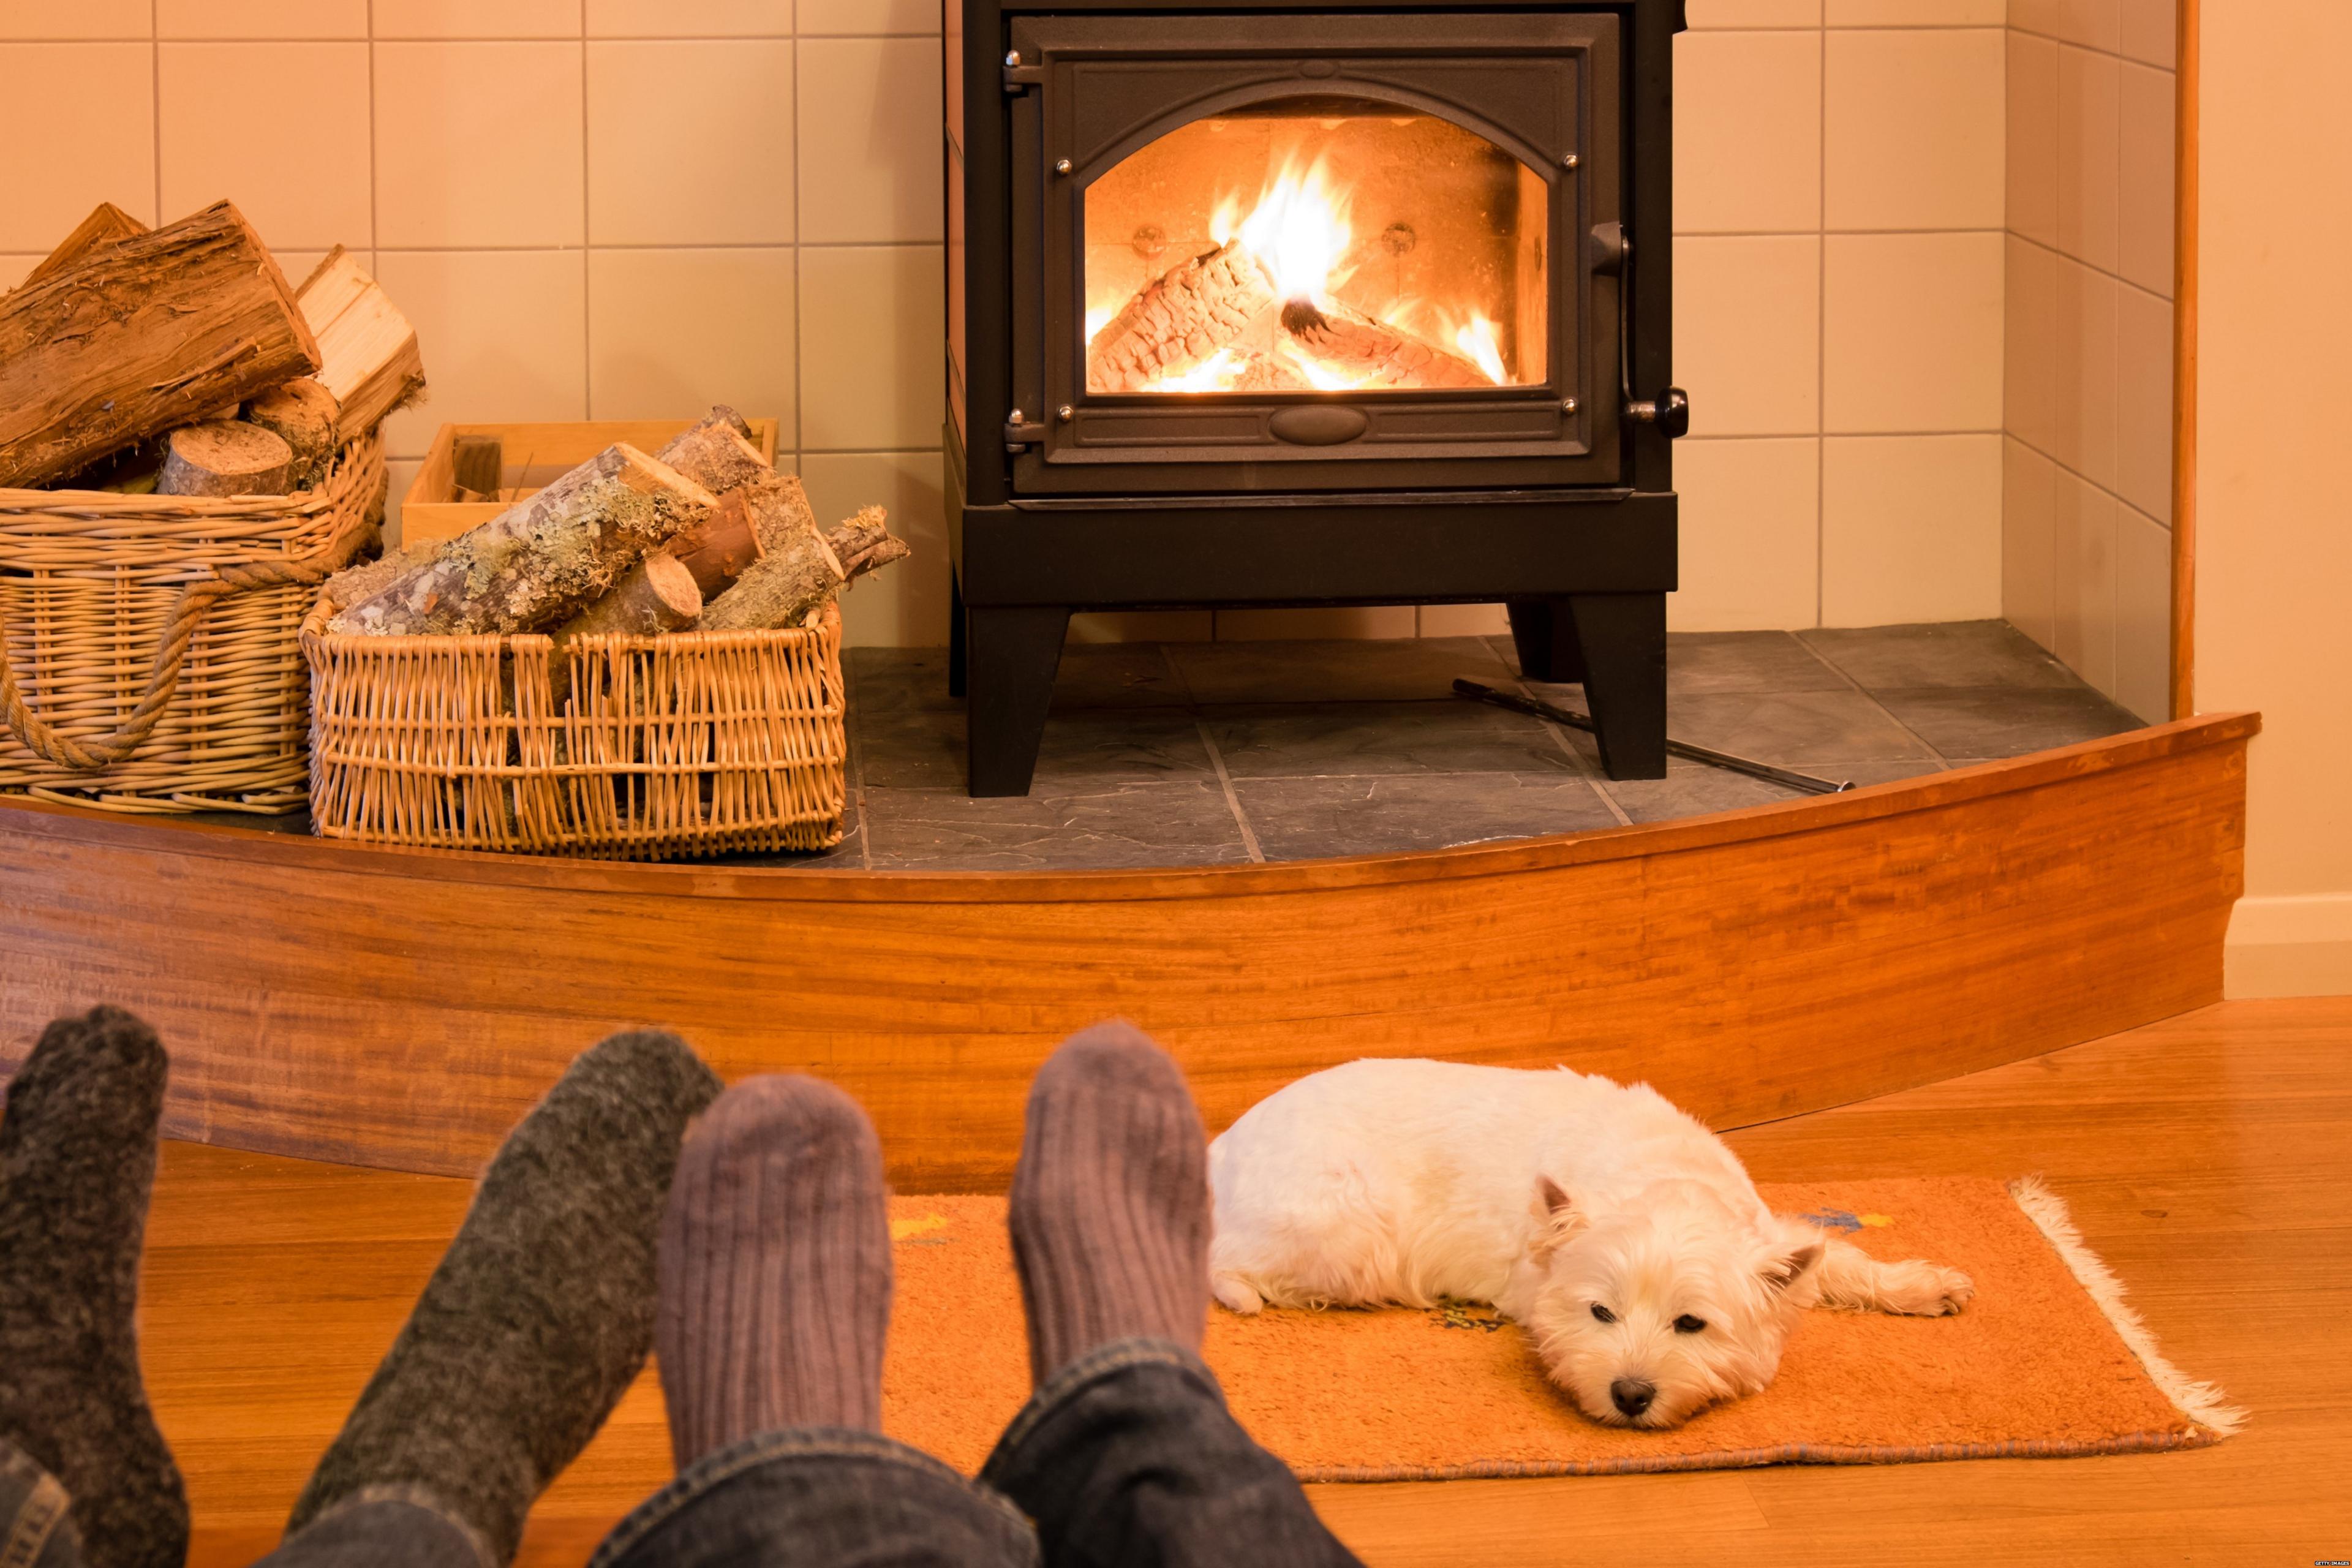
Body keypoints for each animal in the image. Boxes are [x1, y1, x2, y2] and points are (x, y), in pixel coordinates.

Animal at [1204, 1062, 1975, 1429]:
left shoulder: (1774, 1234)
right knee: (1233, 1269)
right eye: (1600, 1312)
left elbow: (1838, 1258)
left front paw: (1929, 1285)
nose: (1630, 1393)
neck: (1664, 1178)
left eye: (1691, 1322)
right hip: (1349, 1223)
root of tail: (1218, 1149)